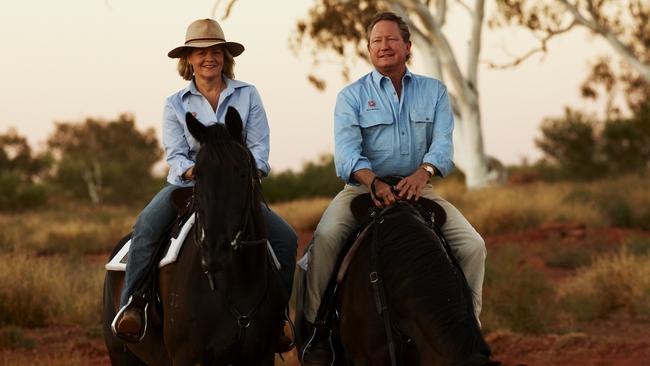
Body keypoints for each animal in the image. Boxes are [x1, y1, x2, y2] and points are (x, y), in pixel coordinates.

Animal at [102, 107, 284, 364]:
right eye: (197, 175)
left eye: (243, 172)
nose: (214, 251)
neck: (237, 283)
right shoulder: (187, 356)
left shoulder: (262, 355)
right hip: (120, 353)